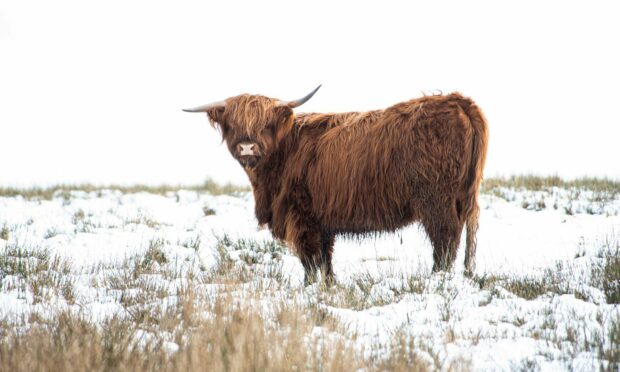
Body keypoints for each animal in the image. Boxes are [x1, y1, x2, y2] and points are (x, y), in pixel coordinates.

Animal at [184, 87, 490, 284]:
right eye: (232, 123)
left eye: (265, 123)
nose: (247, 146)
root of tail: (457, 101)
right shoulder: (322, 219)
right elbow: (326, 257)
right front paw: (330, 285)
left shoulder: (301, 215)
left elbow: (309, 259)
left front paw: (309, 288)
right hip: (466, 194)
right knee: (468, 230)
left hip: (436, 199)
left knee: (445, 238)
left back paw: (436, 279)